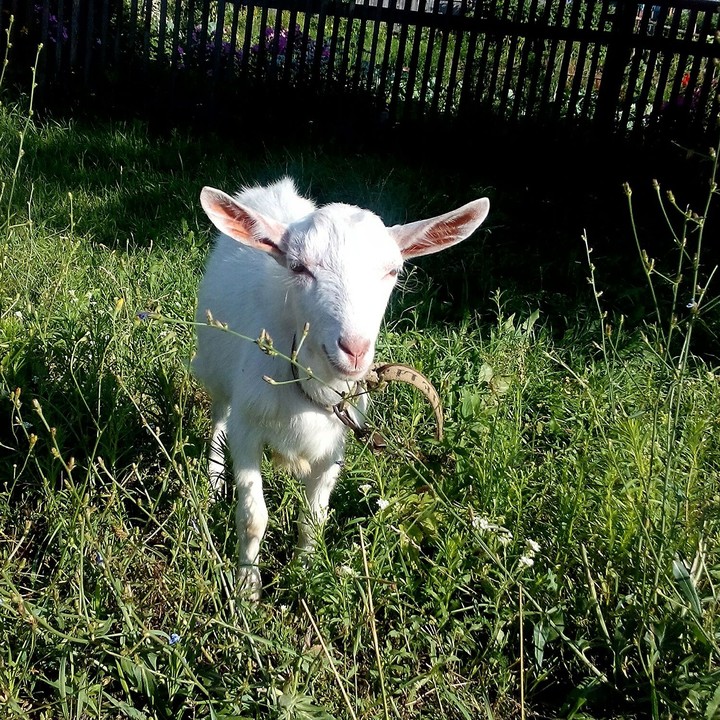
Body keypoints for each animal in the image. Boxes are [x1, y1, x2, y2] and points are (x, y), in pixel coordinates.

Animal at [194, 178, 489, 598]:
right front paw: (247, 591)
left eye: (392, 271)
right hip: (214, 368)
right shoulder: (248, 428)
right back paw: (214, 482)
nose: (354, 349)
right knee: (219, 418)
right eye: (298, 267)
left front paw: (302, 575)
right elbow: (253, 517)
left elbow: (313, 518)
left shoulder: (335, 443)